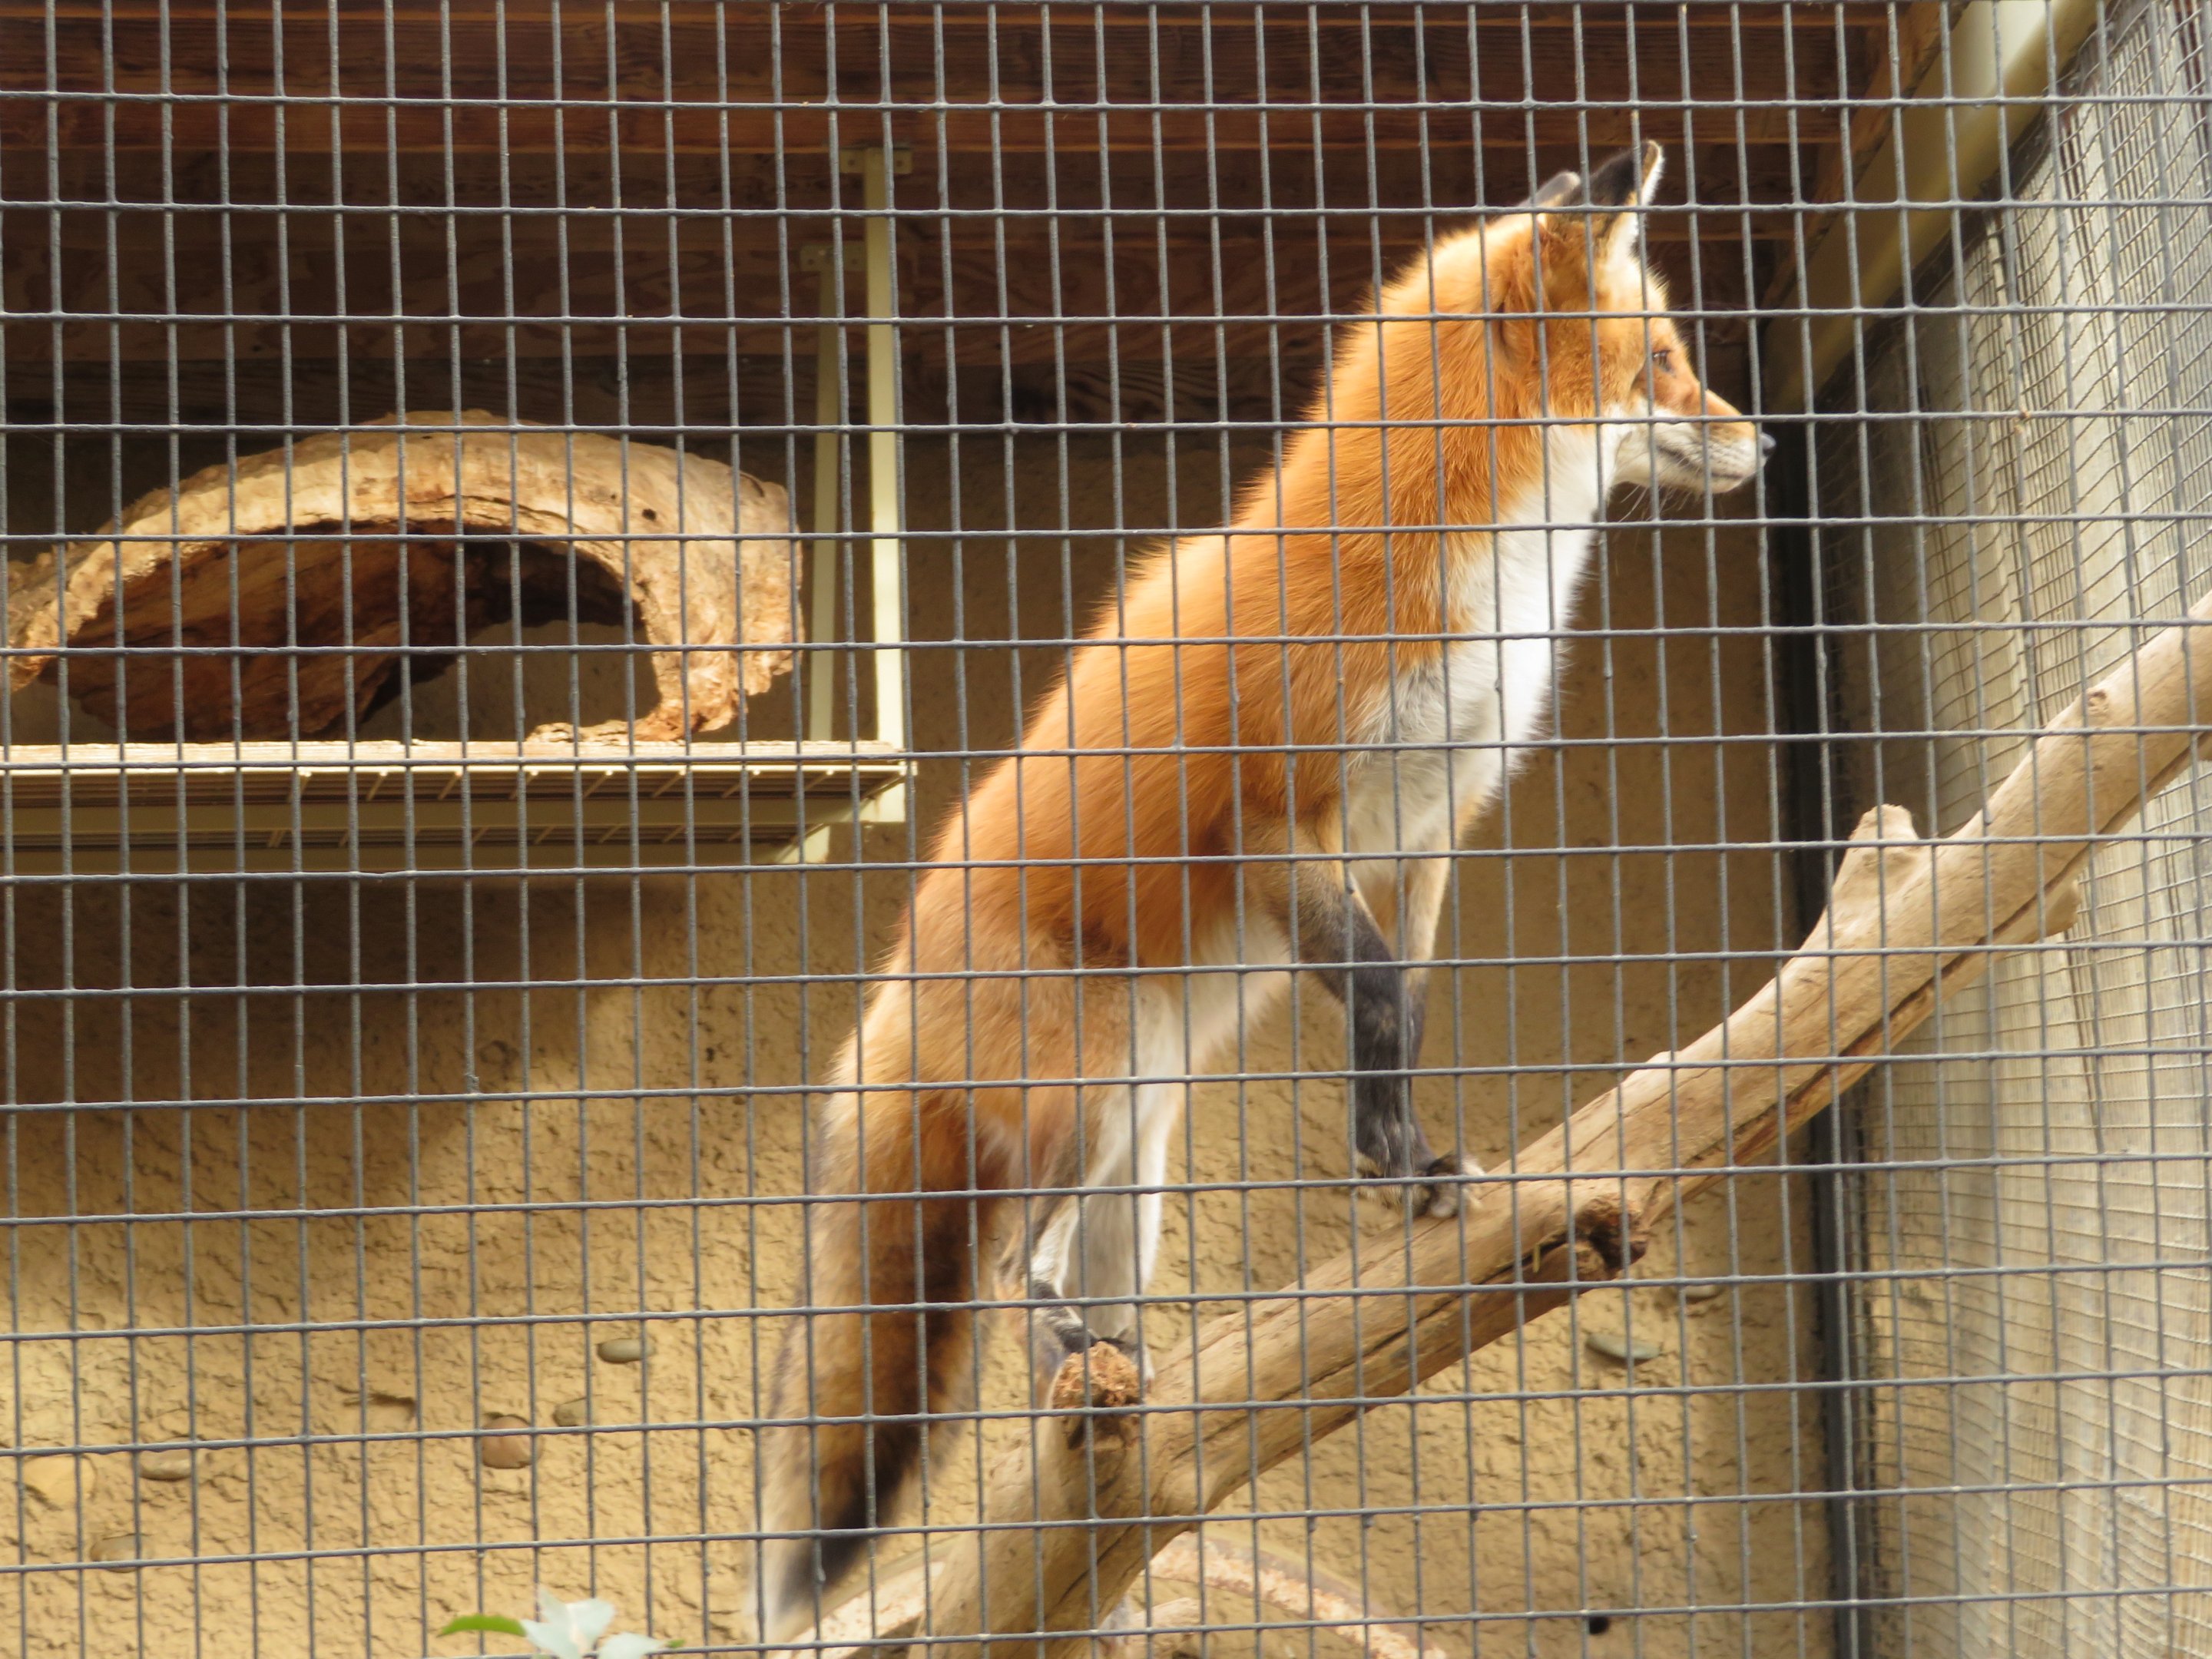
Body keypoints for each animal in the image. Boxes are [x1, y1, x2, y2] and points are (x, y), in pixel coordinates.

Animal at [758, 142, 1768, 1640]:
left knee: (1087, 1326)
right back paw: (1072, 1379)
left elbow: (1401, 1016)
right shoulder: (1280, 820)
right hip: (1087, 1094)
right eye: (1661, 362)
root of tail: (886, 993)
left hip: (1139, 1162)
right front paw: (1397, 1158)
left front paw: (1402, 1165)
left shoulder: (1426, 830)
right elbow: (1378, 999)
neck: (1465, 561)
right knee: (1013, 1280)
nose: (1766, 443)